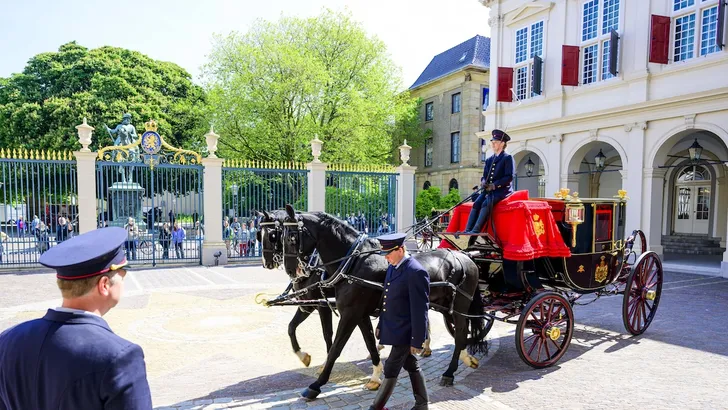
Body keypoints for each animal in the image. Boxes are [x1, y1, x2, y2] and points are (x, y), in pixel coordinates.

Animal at [258, 211, 386, 390]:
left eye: (272, 235)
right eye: (260, 235)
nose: (266, 263)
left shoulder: (327, 307)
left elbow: (328, 335)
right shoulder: (310, 305)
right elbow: (291, 327)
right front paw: (303, 356)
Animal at [282, 207, 486, 398]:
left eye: (291, 237)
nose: (291, 271)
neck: (353, 264)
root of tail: (465, 256)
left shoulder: (349, 315)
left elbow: (335, 348)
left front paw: (316, 384)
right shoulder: (360, 315)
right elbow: (370, 343)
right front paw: (375, 376)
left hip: (459, 307)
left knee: (460, 333)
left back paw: (449, 372)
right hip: (445, 307)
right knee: (460, 332)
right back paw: (464, 357)